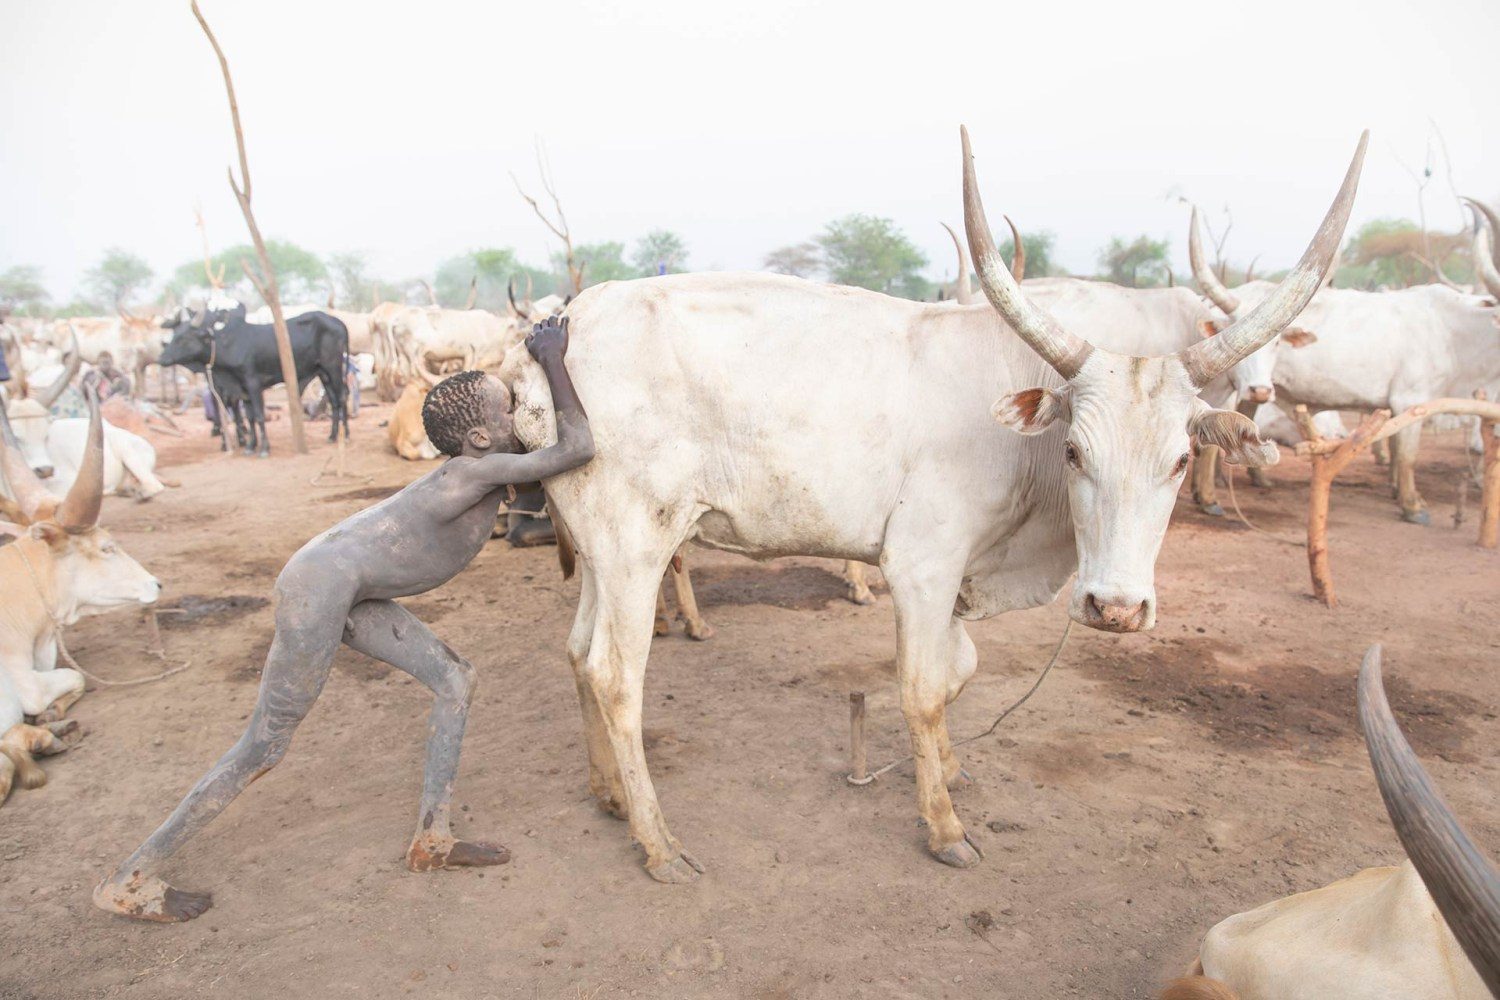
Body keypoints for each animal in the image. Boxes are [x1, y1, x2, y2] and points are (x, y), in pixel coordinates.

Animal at [159, 299, 351, 452]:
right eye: (174, 334)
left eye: (184, 338)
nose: (161, 358)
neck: (229, 345)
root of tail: (337, 321)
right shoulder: (242, 389)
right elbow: (249, 417)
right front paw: (251, 445)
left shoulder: (253, 384)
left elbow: (258, 415)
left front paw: (264, 448)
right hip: (323, 372)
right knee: (333, 401)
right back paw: (333, 435)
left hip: (333, 366)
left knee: (342, 396)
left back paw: (346, 434)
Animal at [498, 131, 1368, 881]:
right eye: (1077, 453)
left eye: (1181, 460)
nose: (1116, 609)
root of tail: (567, 325)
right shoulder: (921, 564)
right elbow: (921, 690)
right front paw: (944, 824)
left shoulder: (959, 575)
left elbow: (958, 674)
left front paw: (951, 769)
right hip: (635, 545)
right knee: (615, 676)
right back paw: (658, 842)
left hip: (601, 549)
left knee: (577, 654)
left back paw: (609, 797)